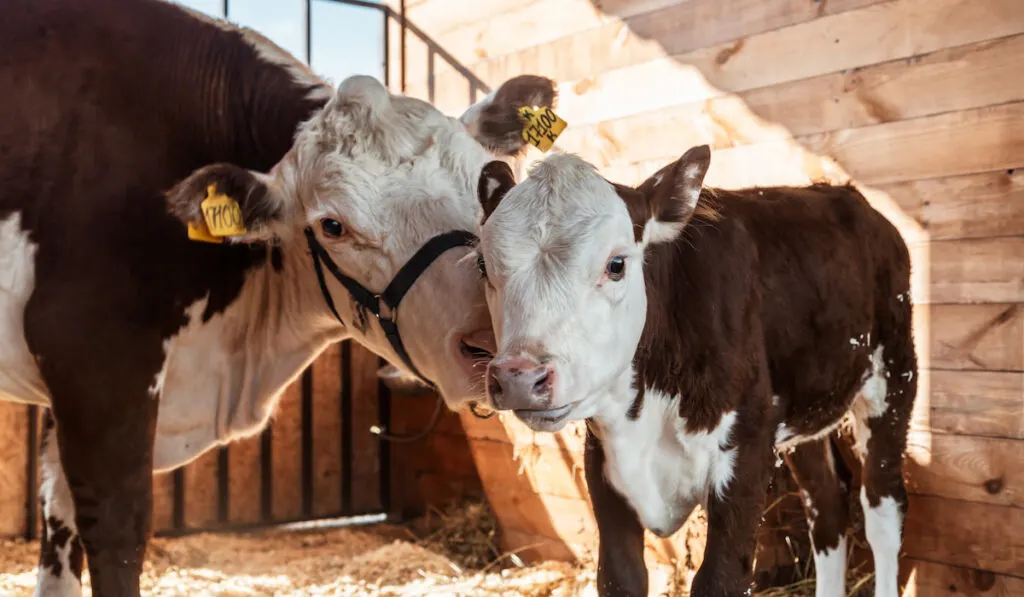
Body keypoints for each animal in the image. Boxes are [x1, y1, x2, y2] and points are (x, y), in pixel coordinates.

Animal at [0, 2, 557, 593]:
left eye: (492, 182)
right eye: (332, 225)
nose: (495, 345)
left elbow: (57, 520)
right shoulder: (94, 365)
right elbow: (115, 533)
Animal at [473, 146, 921, 597]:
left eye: (616, 264)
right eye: (482, 267)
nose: (519, 377)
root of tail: (850, 198)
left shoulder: (746, 454)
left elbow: (720, 579)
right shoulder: (603, 465)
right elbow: (619, 577)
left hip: (894, 376)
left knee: (883, 508)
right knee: (827, 507)